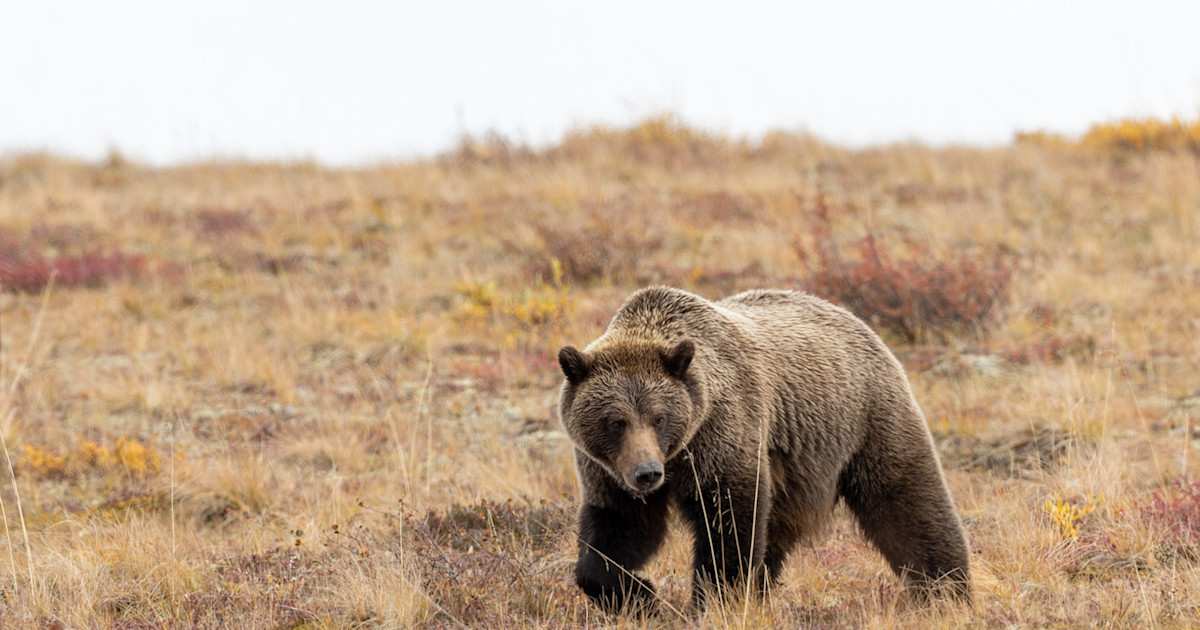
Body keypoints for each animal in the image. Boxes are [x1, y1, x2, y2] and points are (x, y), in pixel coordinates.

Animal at [556, 287, 970, 614]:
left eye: (659, 417)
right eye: (616, 421)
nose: (647, 473)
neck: (680, 452)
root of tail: (860, 322)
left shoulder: (724, 434)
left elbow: (729, 522)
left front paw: (714, 600)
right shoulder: (609, 471)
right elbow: (617, 531)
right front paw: (640, 596)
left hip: (866, 422)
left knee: (908, 504)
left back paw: (949, 590)